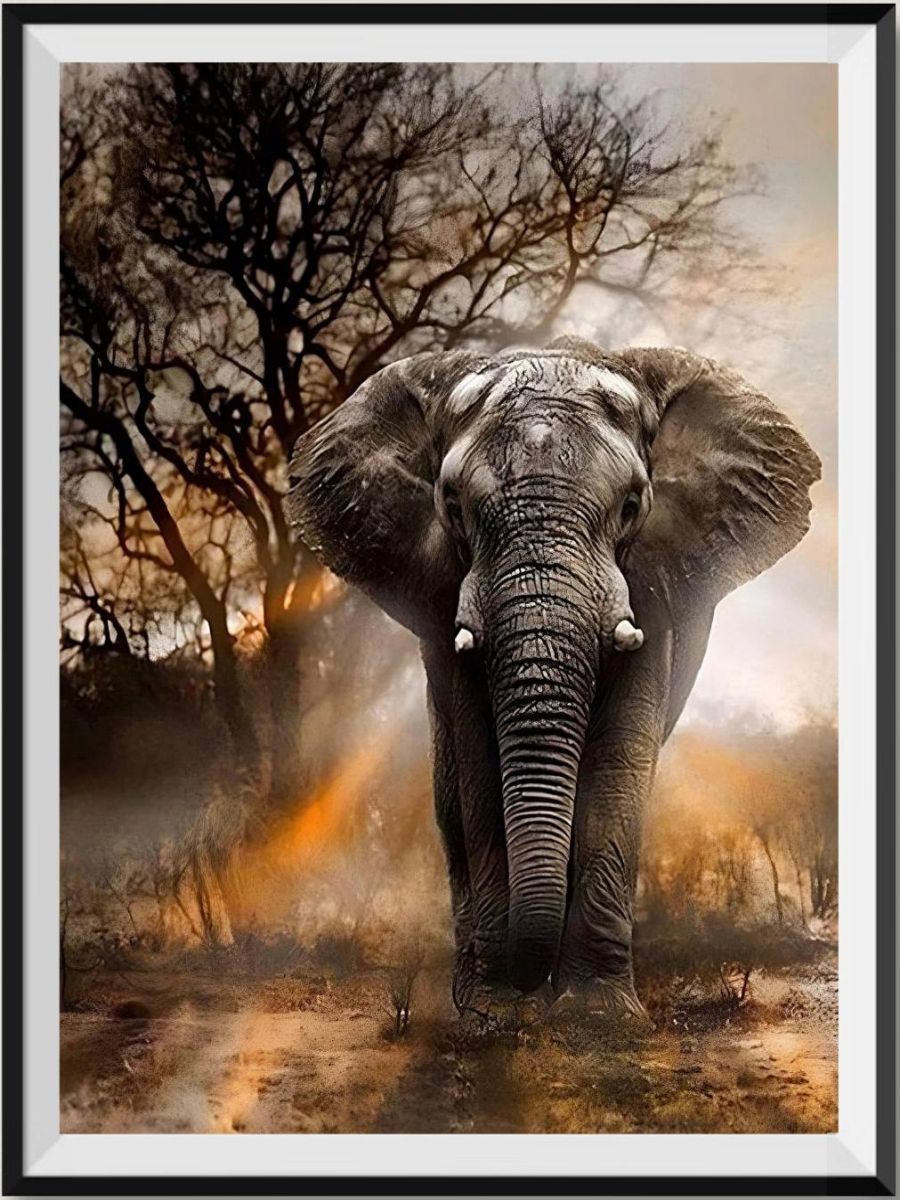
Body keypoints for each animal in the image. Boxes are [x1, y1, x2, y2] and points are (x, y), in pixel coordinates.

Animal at [285, 337, 820, 1019]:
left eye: (631, 506)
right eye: (452, 507)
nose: (524, 982)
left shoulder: (653, 585)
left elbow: (619, 760)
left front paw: (599, 1017)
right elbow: (479, 764)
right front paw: (493, 1015)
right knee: (449, 798)